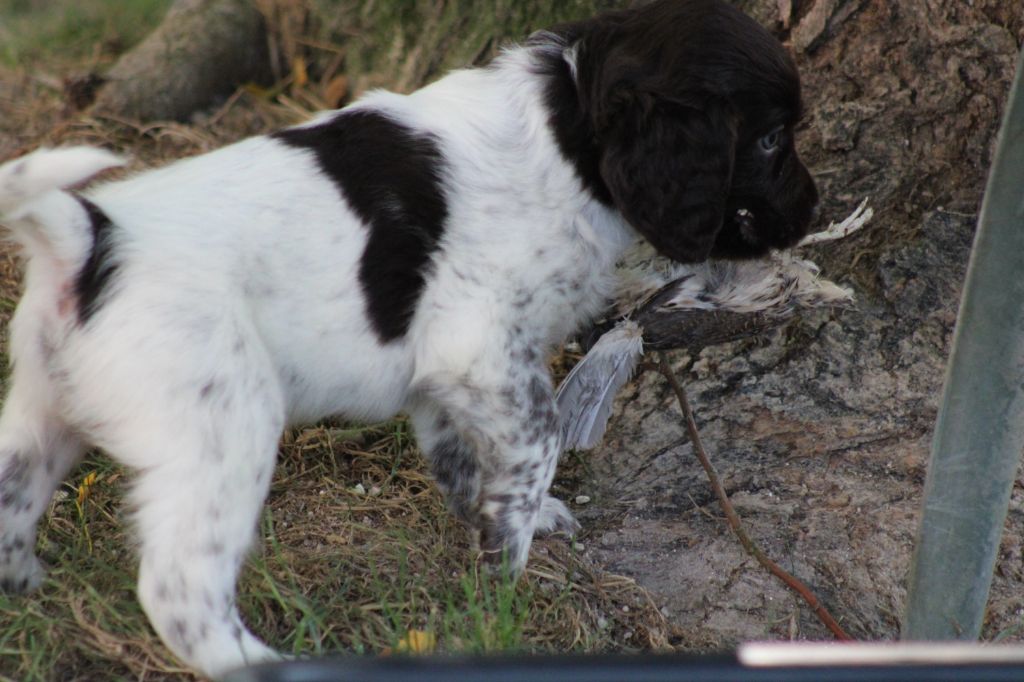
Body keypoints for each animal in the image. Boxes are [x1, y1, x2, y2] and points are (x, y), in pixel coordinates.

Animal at [0, 0, 815, 671]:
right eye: (772, 139)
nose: (813, 208)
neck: (566, 129)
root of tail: (94, 240)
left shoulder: (447, 379)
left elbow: (466, 462)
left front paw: (515, 526)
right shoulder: (486, 352)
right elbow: (534, 449)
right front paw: (506, 577)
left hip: (37, 421)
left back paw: (26, 597)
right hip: (222, 431)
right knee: (179, 590)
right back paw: (263, 663)